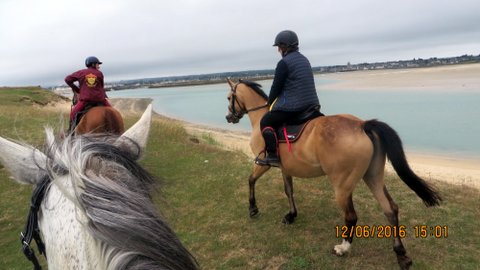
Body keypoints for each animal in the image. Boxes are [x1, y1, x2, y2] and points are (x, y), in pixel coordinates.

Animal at [226, 78, 442, 270]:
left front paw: (253, 208)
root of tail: (362, 125)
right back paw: (401, 255)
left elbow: (251, 180)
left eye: (229, 97)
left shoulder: (263, 165)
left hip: (342, 186)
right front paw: (291, 215)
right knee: (390, 209)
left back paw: (343, 248)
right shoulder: (286, 170)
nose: (229, 118)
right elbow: (289, 191)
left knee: (352, 216)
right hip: (372, 177)